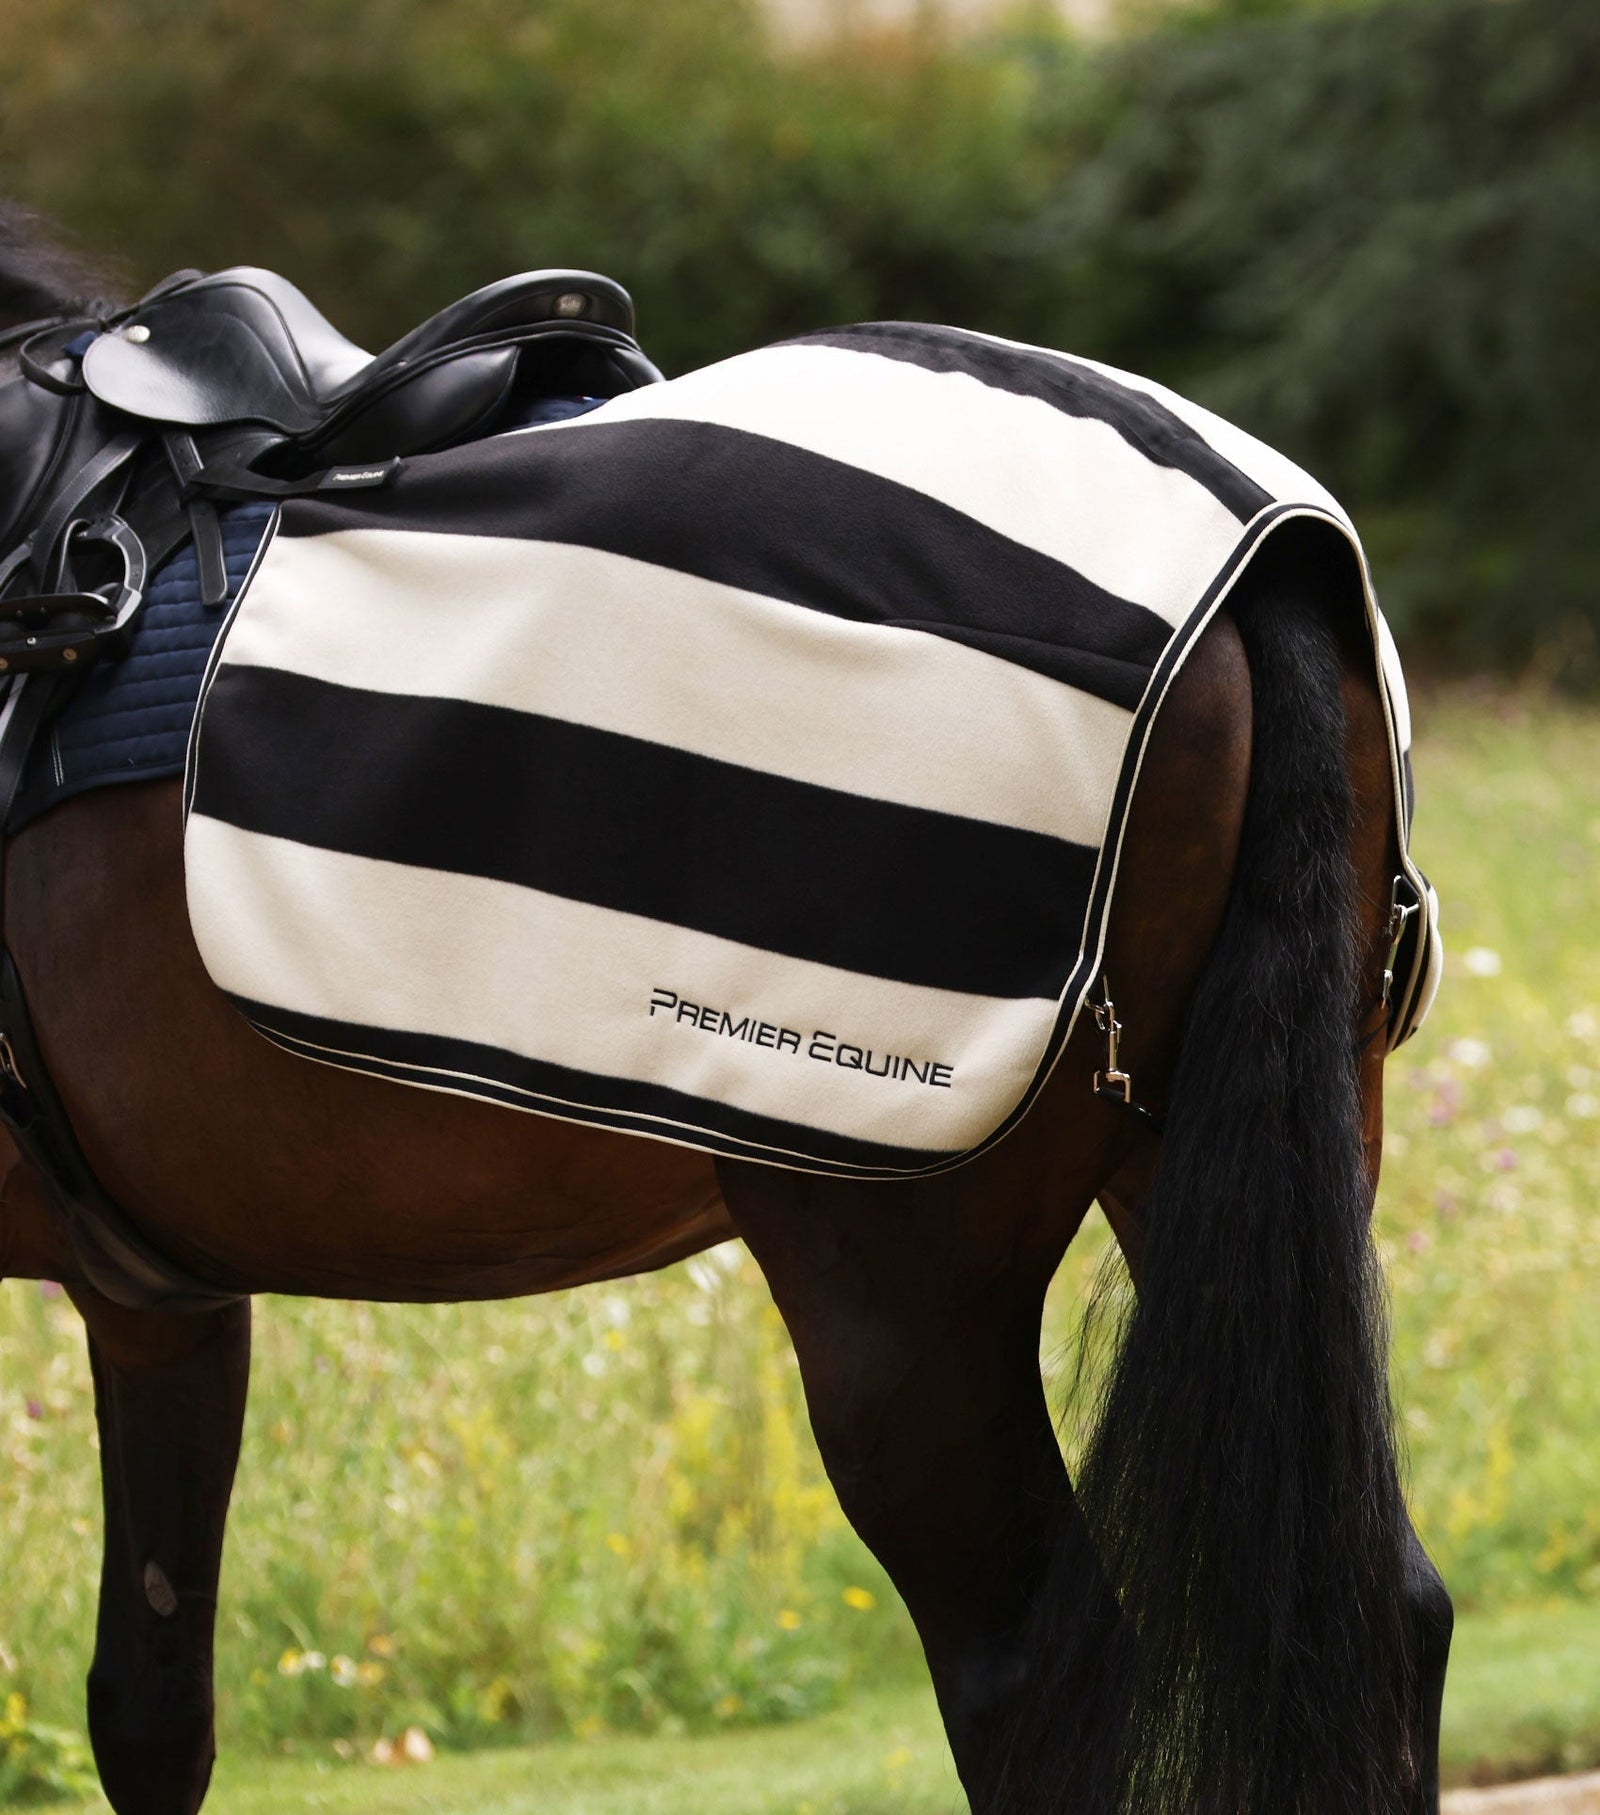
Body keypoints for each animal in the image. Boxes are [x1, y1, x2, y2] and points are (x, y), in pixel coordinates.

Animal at [0, 212, 1453, 1815]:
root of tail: (1261, 554)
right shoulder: (159, 1301)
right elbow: (151, 1707)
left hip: (900, 1295)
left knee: (1038, 1679)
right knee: (1384, 1614)